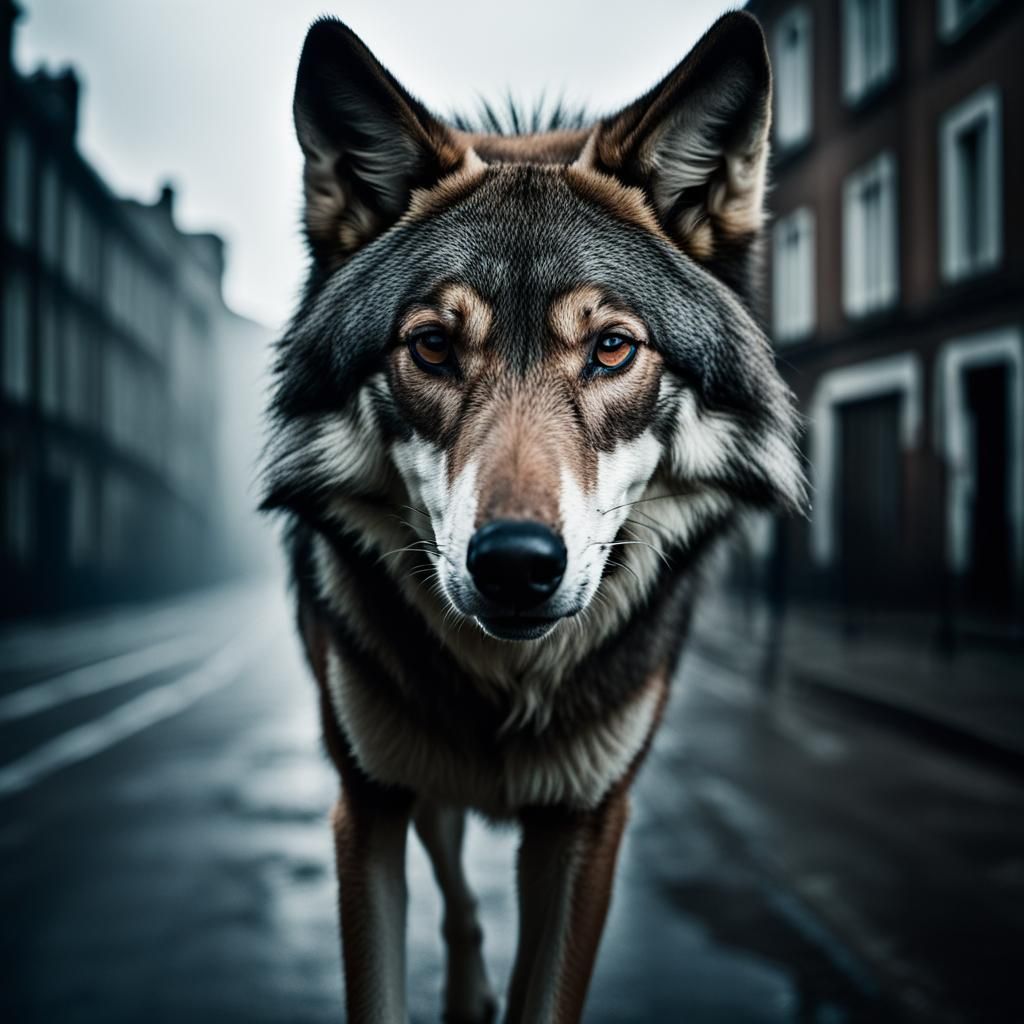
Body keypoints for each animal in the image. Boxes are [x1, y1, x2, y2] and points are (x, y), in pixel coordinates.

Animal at [261, 9, 805, 1023]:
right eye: (433, 347)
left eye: (612, 349)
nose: (514, 562)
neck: (506, 689)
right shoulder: (369, 801)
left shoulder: (585, 819)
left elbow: (543, 989)